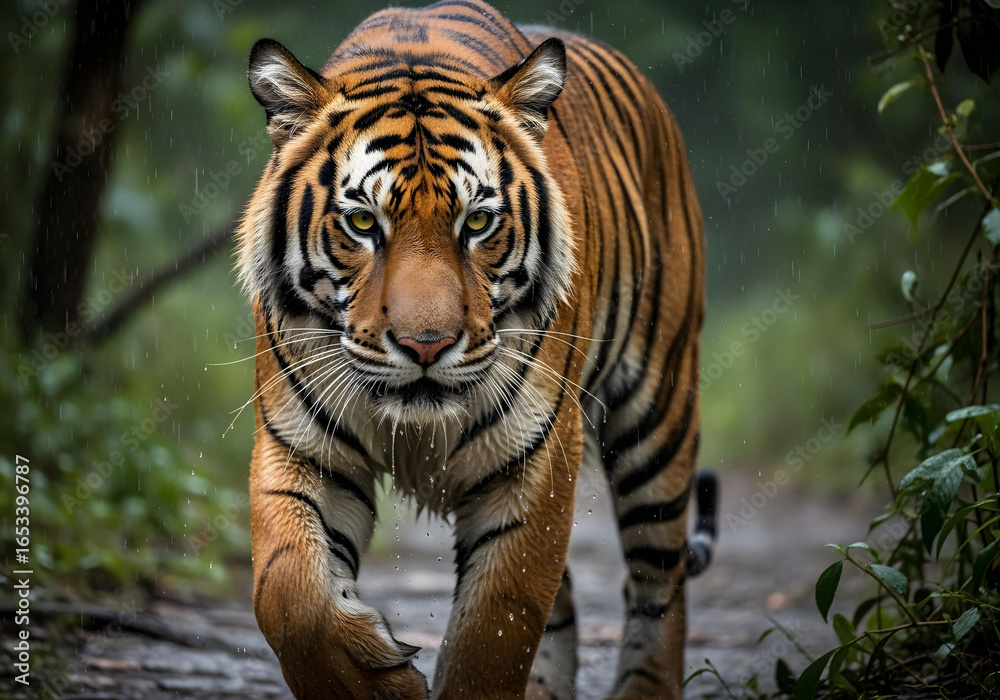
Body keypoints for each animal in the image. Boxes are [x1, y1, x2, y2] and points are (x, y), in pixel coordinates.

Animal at [235, 0, 717, 697]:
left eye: (479, 222)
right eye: (363, 223)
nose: (425, 345)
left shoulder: (536, 460)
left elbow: (497, 625)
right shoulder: (299, 445)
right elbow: (288, 594)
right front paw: (379, 678)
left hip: (658, 414)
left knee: (659, 582)